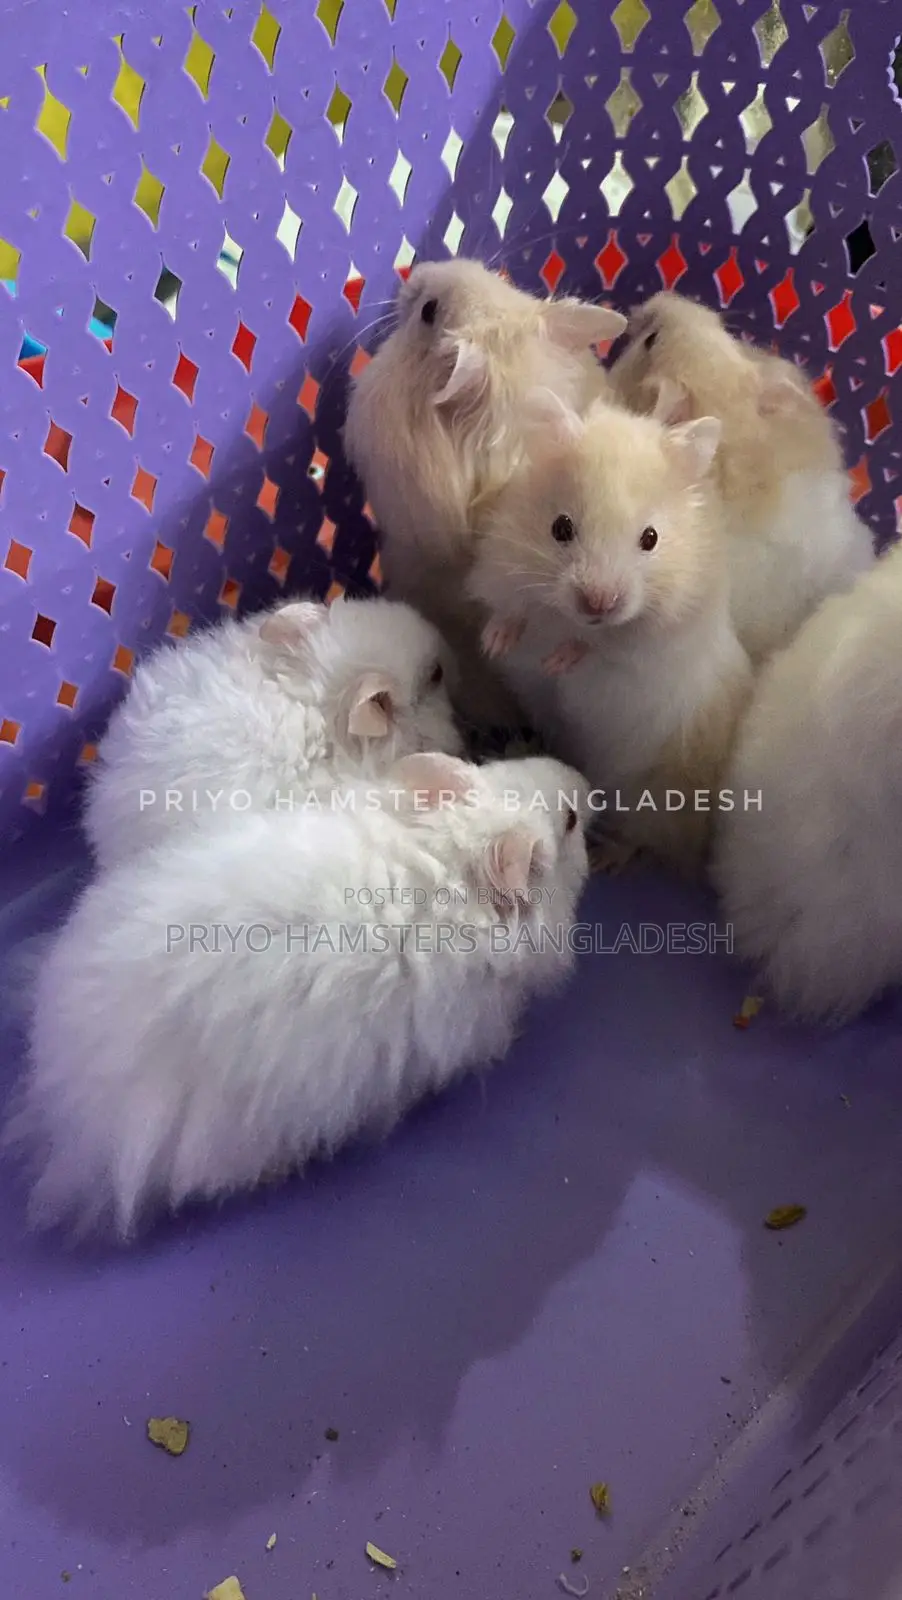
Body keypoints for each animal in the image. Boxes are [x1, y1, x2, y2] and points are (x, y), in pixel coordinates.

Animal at [467, 389, 753, 877]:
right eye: (561, 527)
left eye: (651, 538)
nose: (598, 603)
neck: (566, 617)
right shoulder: (508, 575)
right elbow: (515, 613)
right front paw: (495, 643)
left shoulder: (652, 641)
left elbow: (601, 647)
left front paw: (558, 660)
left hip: (655, 797)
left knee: (642, 839)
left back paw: (606, 858)